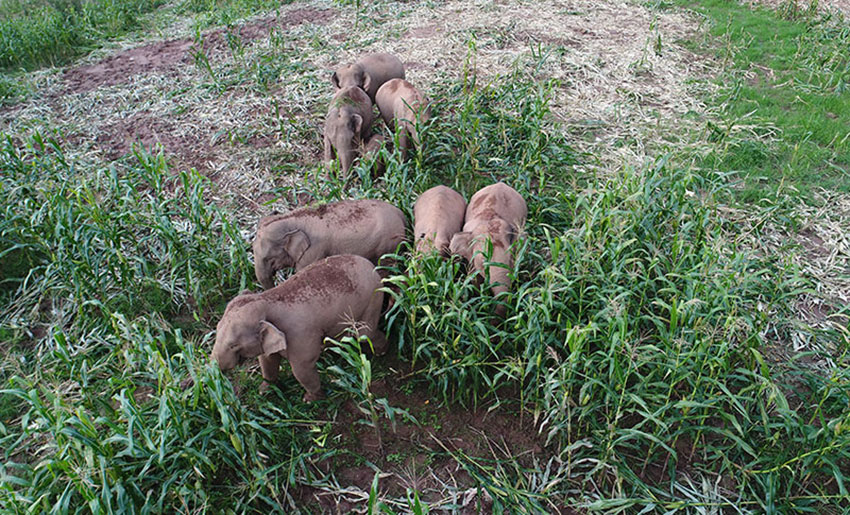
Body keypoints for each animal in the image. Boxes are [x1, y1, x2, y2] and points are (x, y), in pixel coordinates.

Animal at [212, 254, 388, 404]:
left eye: (233, 345)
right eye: (216, 331)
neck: (265, 299)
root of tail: (372, 265)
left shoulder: (300, 337)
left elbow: (301, 368)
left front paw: (310, 400)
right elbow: (267, 361)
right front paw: (264, 391)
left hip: (372, 299)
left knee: (365, 333)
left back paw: (380, 353)